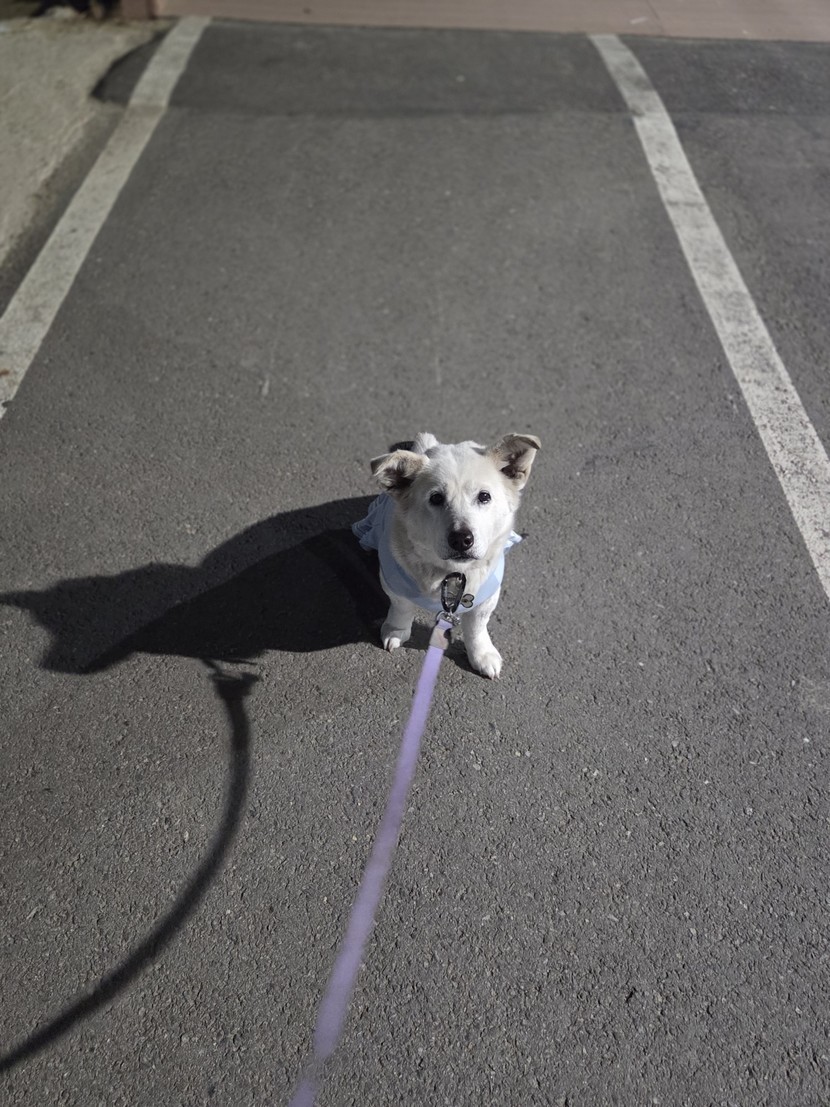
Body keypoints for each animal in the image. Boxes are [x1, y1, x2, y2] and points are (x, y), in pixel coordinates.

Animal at [353, 432, 540, 679]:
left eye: (484, 496)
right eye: (436, 498)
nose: (461, 539)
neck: (452, 573)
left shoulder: (487, 597)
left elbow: (477, 627)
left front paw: (481, 654)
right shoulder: (394, 584)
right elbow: (402, 609)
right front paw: (396, 630)